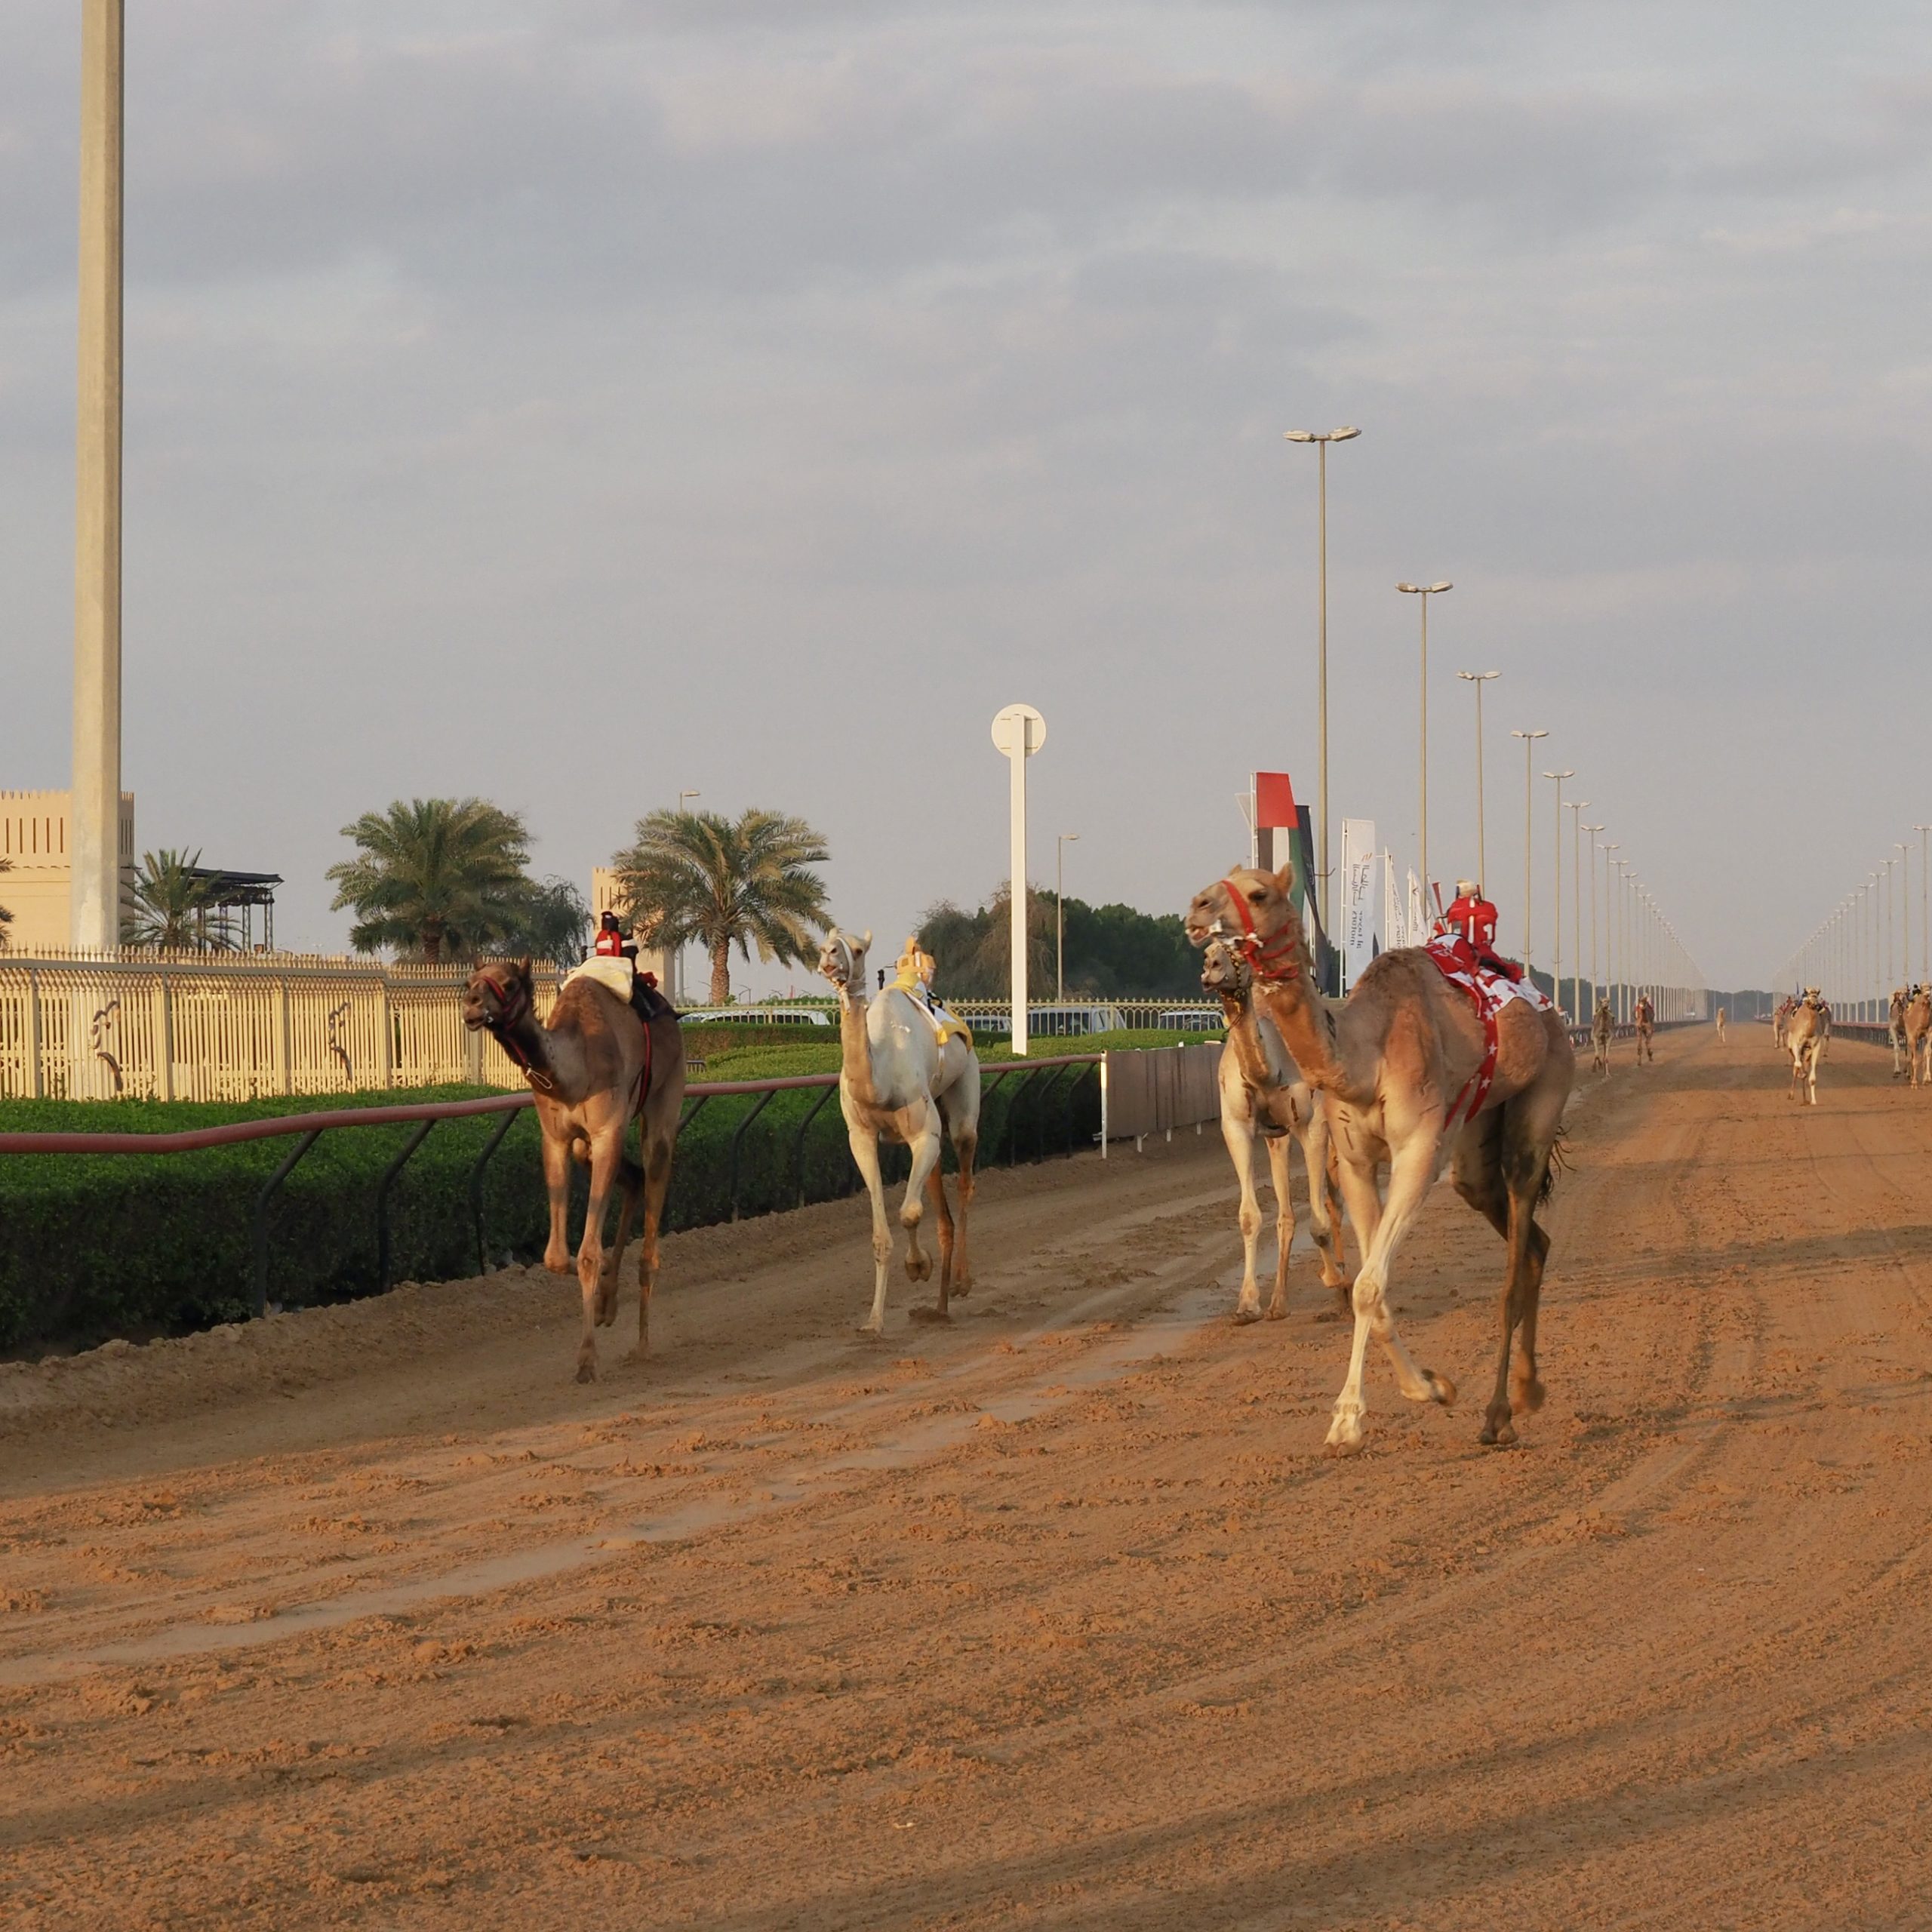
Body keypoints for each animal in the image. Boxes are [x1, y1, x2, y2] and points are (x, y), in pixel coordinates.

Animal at [461, 958, 688, 1383]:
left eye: (509, 983)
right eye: (468, 982)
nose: (471, 1006)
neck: (574, 1070)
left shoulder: (607, 1132)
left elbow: (587, 1254)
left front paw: (586, 1360)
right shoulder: (555, 1139)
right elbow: (555, 1256)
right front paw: (600, 1293)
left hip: (666, 1095)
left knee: (653, 1181)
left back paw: (642, 1346)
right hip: (586, 1148)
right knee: (633, 1180)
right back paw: (607, 1304)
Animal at [815, 931, 981, 1329]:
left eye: (857, 949)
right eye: (824, 943)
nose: (829, 957)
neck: (880, 1082)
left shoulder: (924, 1135)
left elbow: (909, 1213)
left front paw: (919, 1266)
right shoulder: (860, 1138)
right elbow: (882, 1233)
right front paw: (873, 1322)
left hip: (965, 1091)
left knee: (965, 1179)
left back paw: (961, 1283)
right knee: (940, 1206)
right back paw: (939, 1306)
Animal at [1198, 939, 1352, 1329]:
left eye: (1238, 949)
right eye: (1206, 952)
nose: (1210, 969)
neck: (1270, 1070)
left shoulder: (1312, 1126)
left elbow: (1320, 1222)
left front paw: (1333, 1278)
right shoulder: (1237, 1127)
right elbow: (1250, 1217)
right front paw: (1247, 1306)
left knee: (1339, 1201)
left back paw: (1344, 1287)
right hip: (1278, 1138)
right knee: (1292, 1212)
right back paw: (1281, 1304)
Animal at [1777, 989, 1823, 1112]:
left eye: (1817, 993)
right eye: (1807, 992)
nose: (1815, 1003)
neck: (1808, 1031)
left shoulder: (1815, 1046)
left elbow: (1812, 1078)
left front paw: (1813, 1101)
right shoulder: (1796, 1044)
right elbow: (1798, 1065)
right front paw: (1801, 1076)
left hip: (1806, 1052)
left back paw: (1805, 1098)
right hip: (1791, 1046)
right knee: (1796, 1065)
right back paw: (1791, 1095)